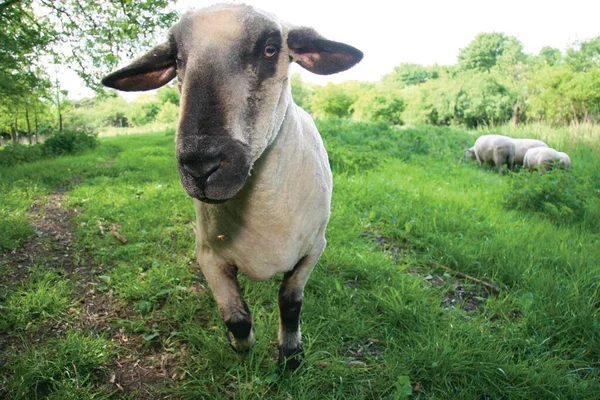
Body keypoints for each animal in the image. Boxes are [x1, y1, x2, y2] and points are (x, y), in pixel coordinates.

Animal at [101, 3, 364, 372]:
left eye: (270, 49)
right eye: (178, 59)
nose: (201, 164)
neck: (263, 215)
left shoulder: (313, 249)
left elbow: (290, 302)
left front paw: (290, 355)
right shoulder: (209, 256)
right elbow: (236, 317)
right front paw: (242, 344)